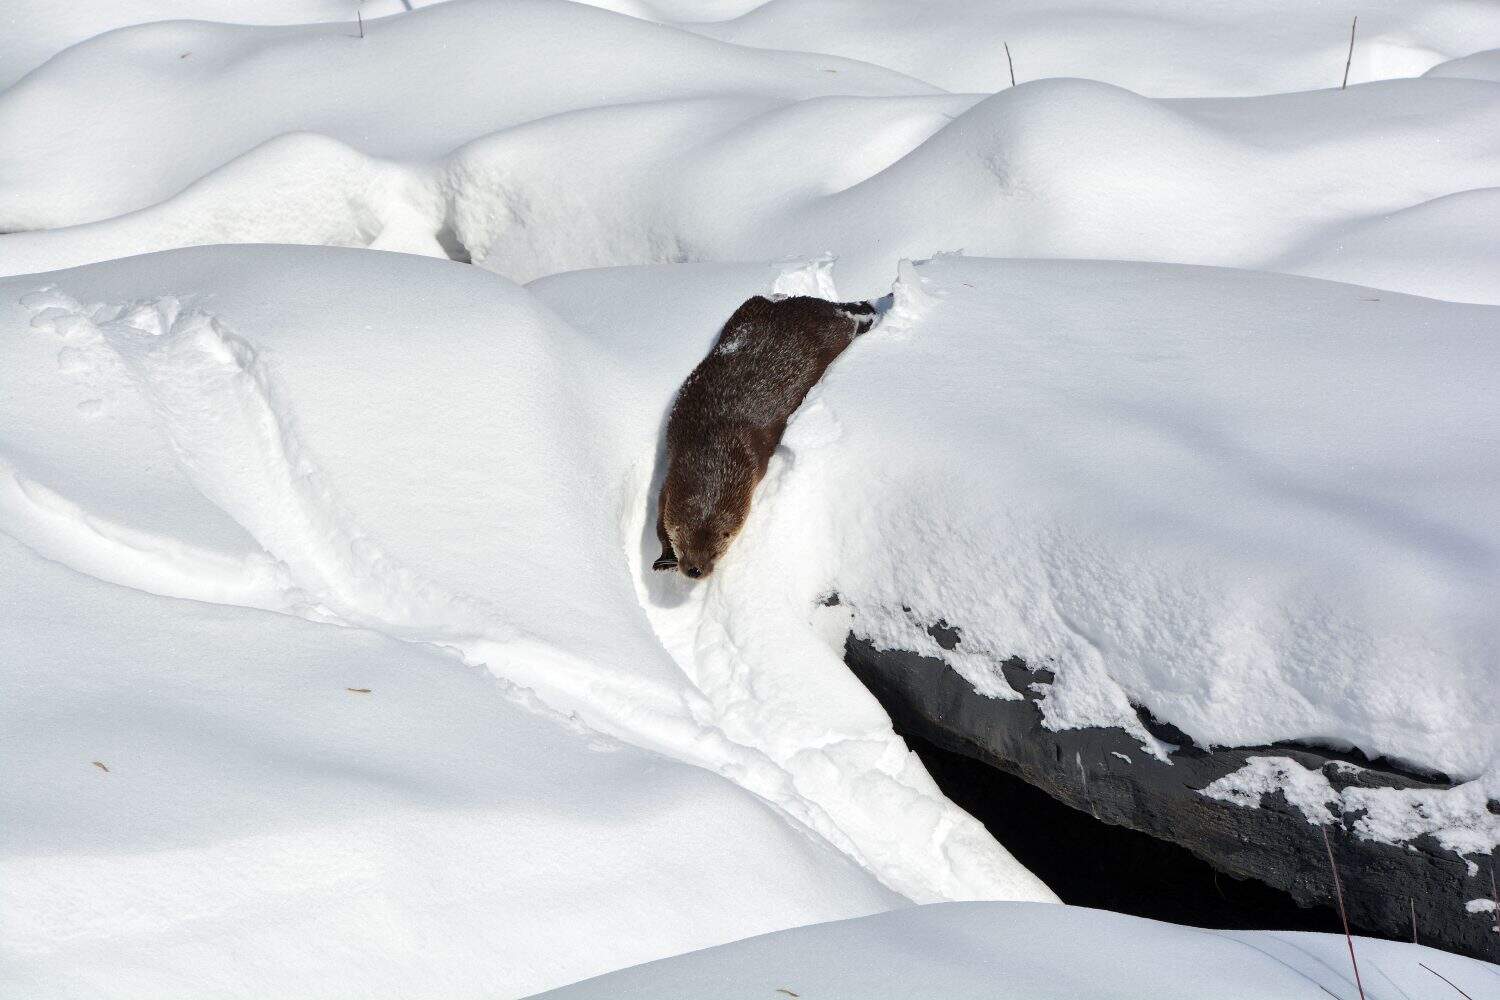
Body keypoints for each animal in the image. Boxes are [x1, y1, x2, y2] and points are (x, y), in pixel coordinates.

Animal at [653, 294, 878, 579]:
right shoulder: (671, 477)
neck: (710, 446)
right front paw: (664, 559)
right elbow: (660, 520)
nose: (695, 570)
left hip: (832, 335)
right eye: (683, 546)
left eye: (717, 550)